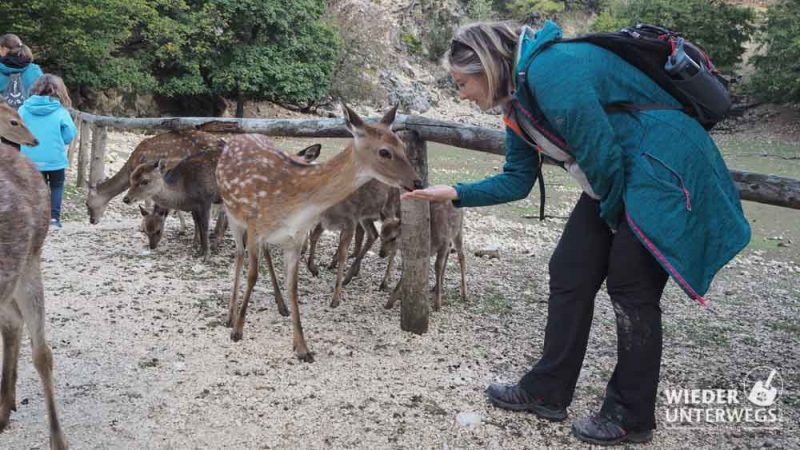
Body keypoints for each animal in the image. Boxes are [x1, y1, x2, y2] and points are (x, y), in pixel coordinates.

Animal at [216, 104, 422, 362]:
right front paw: (238, 330)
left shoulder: (296, 239)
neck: (295, 204)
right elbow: (252, 275)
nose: (417, 181)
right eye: (385, 152)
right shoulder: (255, 226)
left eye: (402, 145)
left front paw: (302, 348)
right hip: (232, 214)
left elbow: (293, 286)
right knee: (239, 256)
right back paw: (229, 317)